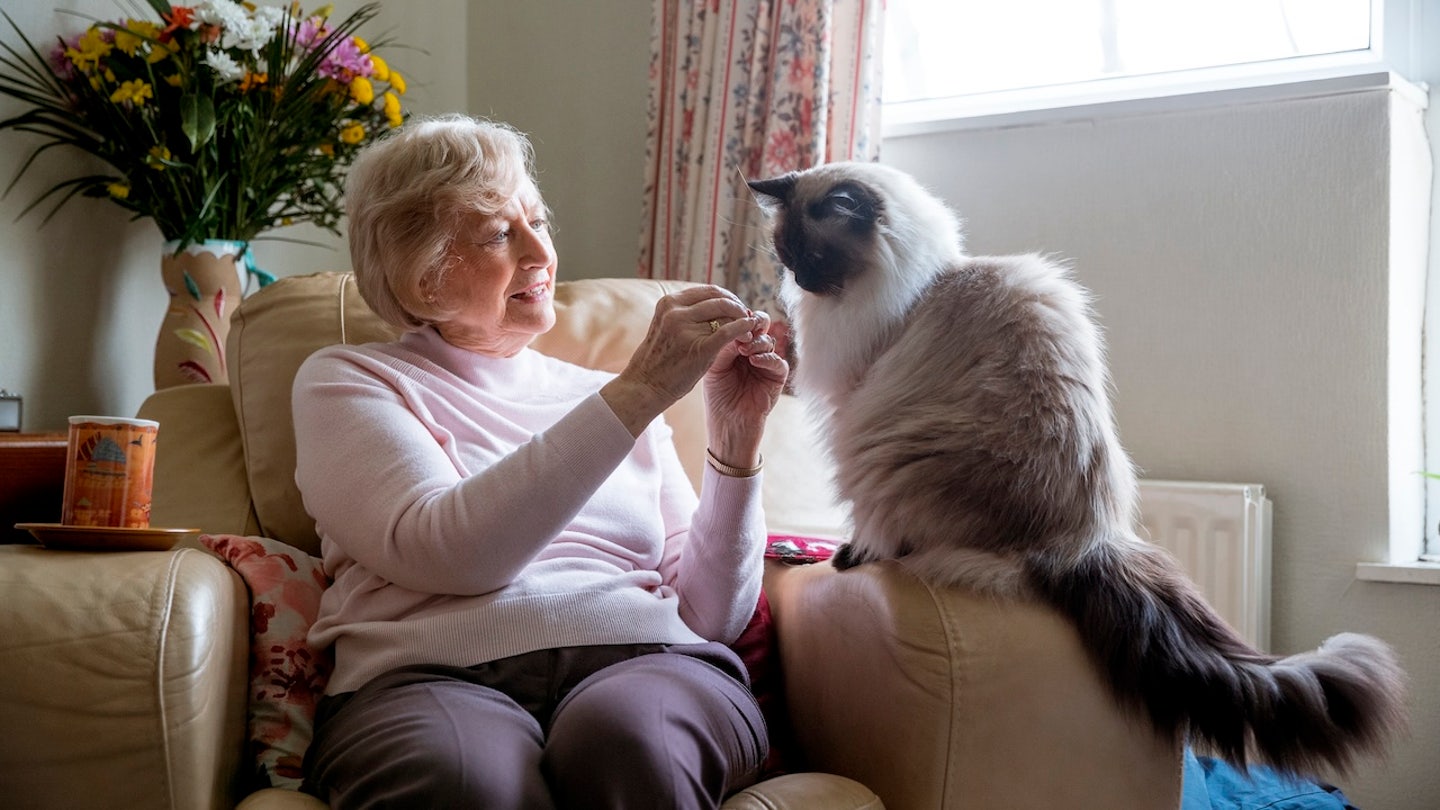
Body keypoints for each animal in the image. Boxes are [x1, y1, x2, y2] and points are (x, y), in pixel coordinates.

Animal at [748, 162, 1411, 778]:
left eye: (813, 256)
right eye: (787, 257)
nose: (799, 282)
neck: (923, 282)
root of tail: (1086, 542)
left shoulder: (853, 410)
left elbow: (862, 523)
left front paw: (842, 552)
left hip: (883, 460)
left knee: (895, 537)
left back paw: (852, 557)